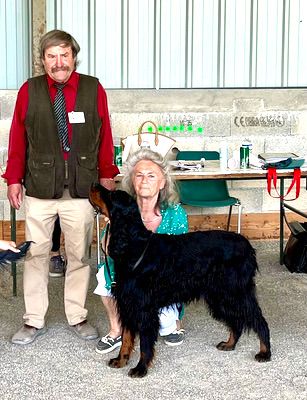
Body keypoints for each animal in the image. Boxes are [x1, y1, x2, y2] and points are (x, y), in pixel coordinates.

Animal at [89, 183, 272, 376]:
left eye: (111, 195)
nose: (94, 185)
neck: (134, 246)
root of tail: (247, 245)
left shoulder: (144, 308)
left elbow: (145, 344)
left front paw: (141, 368)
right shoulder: (128, 303)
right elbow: (126, 338)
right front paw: (121, 360)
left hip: (236, 293)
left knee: (259, 320)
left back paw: (264, 352)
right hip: (220, 296)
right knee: (236, 321)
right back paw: (230, 344)